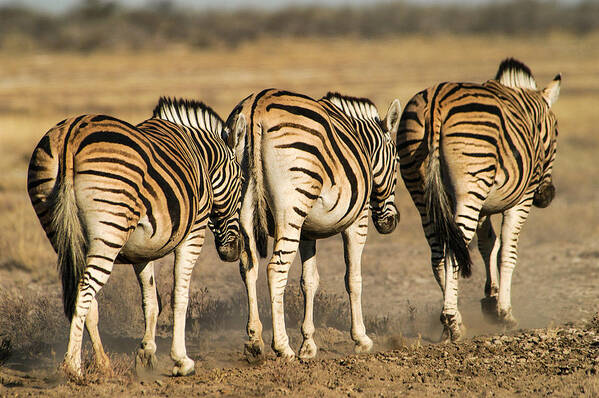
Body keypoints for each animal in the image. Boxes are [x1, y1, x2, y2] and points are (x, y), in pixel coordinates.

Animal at [25, 98, 241, 378]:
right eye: (243, 182)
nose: (234, 251)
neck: (202, 156)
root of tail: (70, 135)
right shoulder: (194, 232)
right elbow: (179, 296)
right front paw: (181, 361)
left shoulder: (142, 248)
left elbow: (151, 300)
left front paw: (146, 354)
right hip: (110, 227)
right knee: (84, 290)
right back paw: (72, 366)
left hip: (58, 227)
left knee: (88, 299)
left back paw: (103, 363)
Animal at [223, 88, 400, 360]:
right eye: (399, 162)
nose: (391, 222)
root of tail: (256, 106)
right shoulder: (358, 220)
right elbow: (353, 278)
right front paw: (361, 339)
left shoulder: (307, 231)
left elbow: (309, 281)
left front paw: (308, 344)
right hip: (291, 207)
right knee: (275, 269)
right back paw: (282, 346)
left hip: (244, 205)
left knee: (248, 266)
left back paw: (255, 341)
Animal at [398, 57, 564, 340]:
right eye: (555, 136)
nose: (547, 196)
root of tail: (436, 102)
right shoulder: (522, 200)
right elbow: (507, 250)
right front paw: (505, 313)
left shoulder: (483, 207)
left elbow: (489, 245)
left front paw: (491, 300)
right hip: (470, 188)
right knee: (454, 250)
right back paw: (452, 323)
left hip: (423, 193)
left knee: (438, 253)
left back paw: (451, 320)